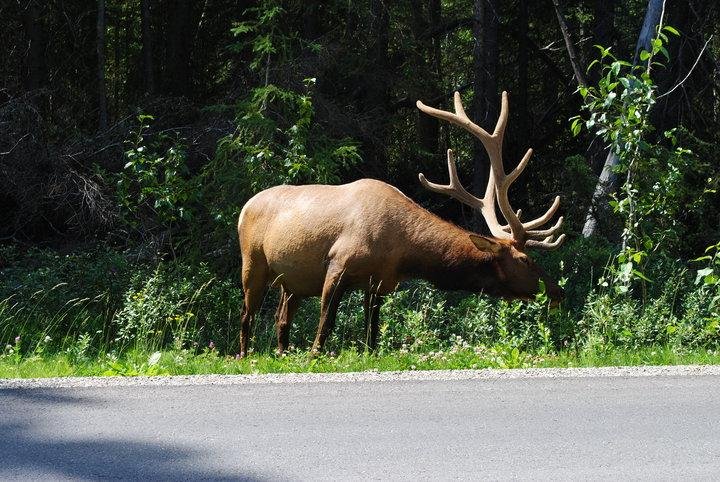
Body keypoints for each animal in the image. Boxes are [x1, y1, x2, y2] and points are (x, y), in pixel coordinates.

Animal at [237, 91, 565, 357]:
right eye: (524, 259)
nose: (557, 292)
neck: (405, 252)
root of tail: (243, 207)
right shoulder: (337, 265)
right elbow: (325, 325)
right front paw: (313, 357)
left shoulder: (379, 283)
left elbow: (371, 335)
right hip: (253, 263)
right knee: (246, 315)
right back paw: (245, 356)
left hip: (293, 281)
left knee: (281, 317)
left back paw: (282, 352)